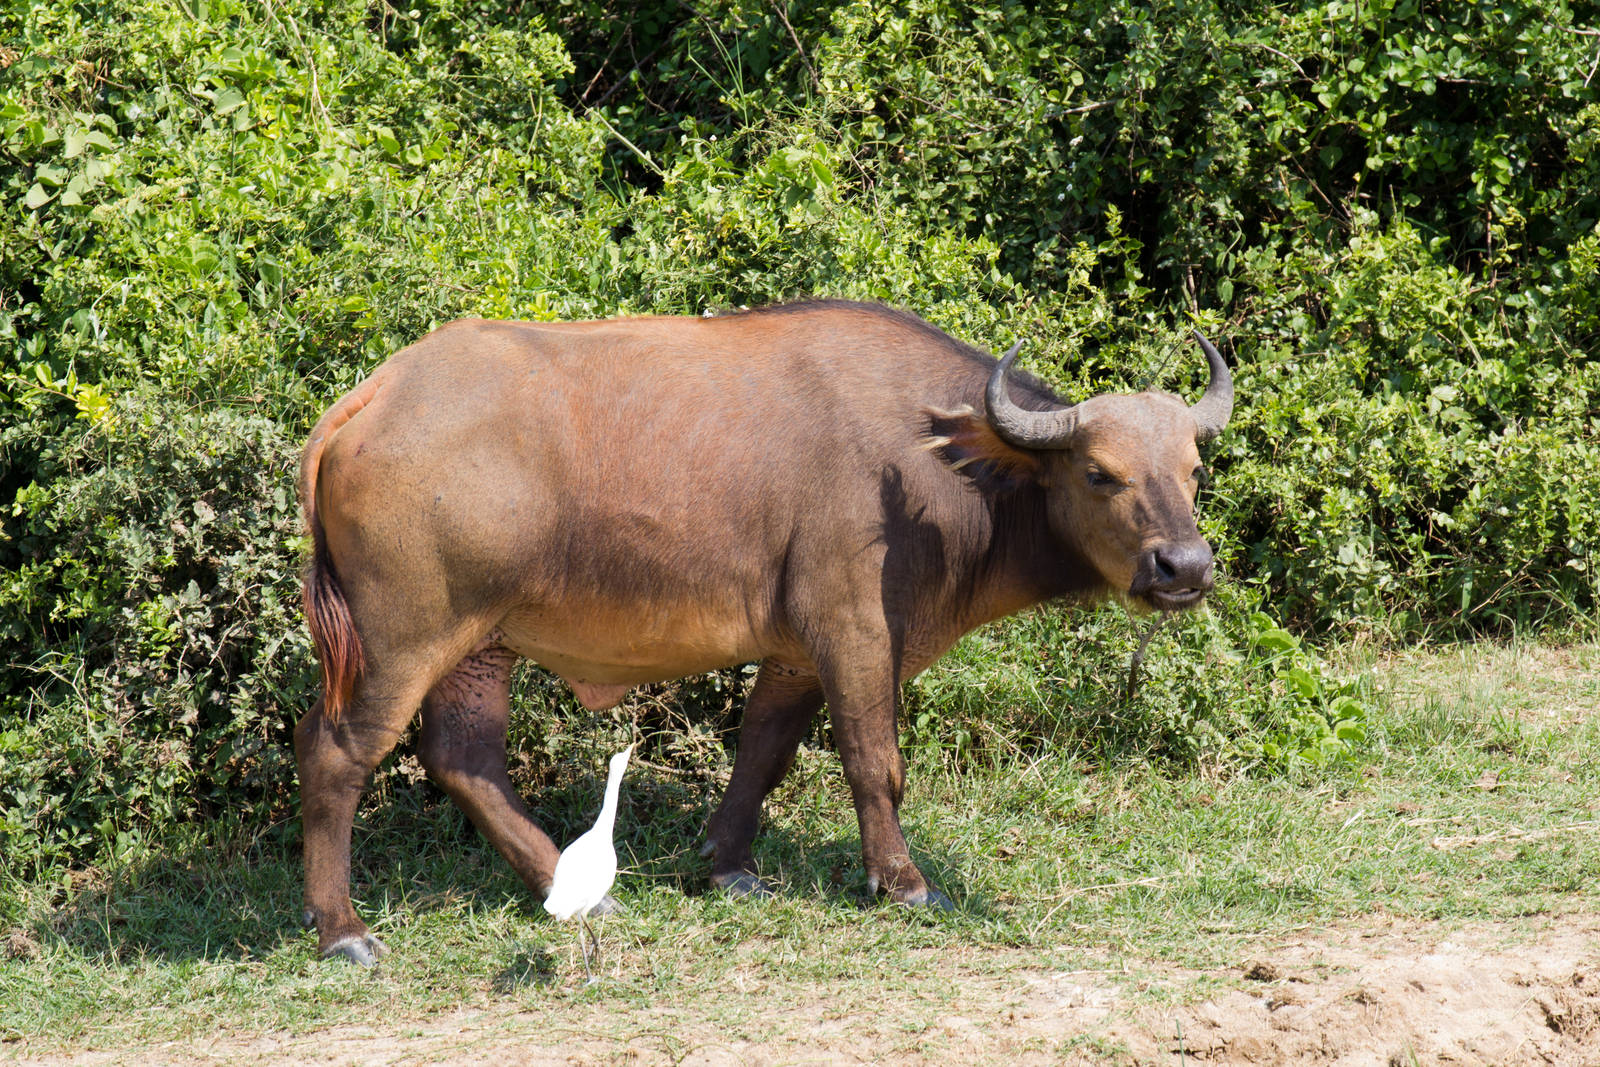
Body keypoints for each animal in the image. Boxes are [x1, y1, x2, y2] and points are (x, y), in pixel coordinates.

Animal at [295, 300, 1231, 963]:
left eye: (1193, 469)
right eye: (1100, 472)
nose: (1183, 565)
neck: (933, 466)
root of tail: (374, 395)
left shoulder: (792, 653)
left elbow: (765, 750)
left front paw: (728, 866)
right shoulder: (855, 629)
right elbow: (874, 761)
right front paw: (904, 882)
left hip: (479, 645)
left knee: (465, 759)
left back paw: (576, 885)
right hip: (400, 643)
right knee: (336, 753)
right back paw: (343, 930)